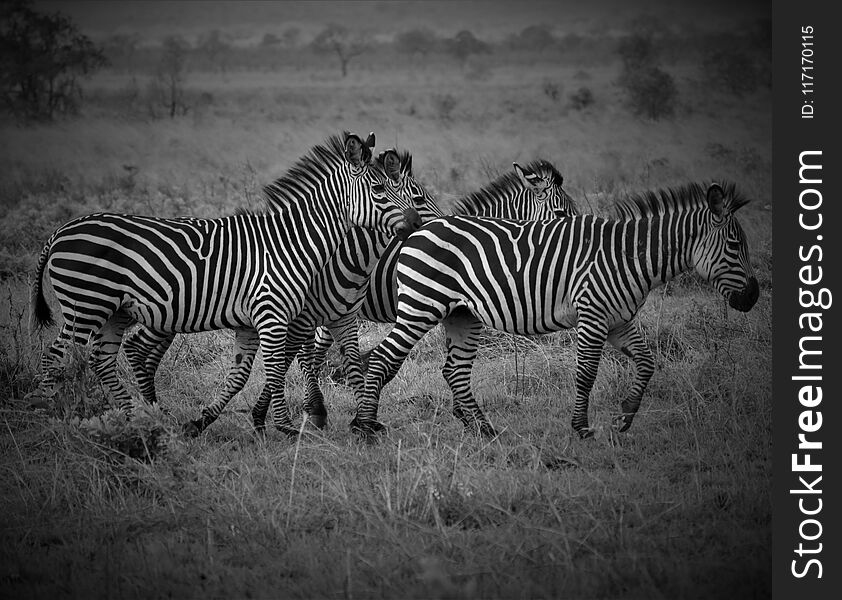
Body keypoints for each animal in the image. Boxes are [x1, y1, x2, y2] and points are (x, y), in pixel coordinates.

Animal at [29, 131, 424, 436]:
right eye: (378, 188)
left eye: (402, 191)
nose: (417, 224)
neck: (293, 241)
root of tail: (60, 231)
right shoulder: (272, 313)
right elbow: (276, 369)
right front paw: (287, 428)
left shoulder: (253, 321)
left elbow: (247, 373)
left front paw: (362, 423)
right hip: (85, 306)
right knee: (56, 358)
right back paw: (46, 416)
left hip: (115, 312)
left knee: (102, 361)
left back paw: (137, 419)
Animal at [352, 180, 756, 438]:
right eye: (735, 246)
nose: (752, 298)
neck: (629, 257)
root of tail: (417, 230)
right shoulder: (593, 315)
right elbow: (586, 374)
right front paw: (582, 428)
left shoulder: (619, 320)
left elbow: (647, 362)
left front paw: (624, 417)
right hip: (421, 305)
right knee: (382, 359)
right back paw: (365, 426)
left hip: (460, 314)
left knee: (455, 370)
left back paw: (484, 429)